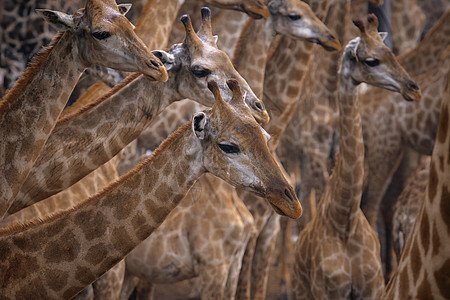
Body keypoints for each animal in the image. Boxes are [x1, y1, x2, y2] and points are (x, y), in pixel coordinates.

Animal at [292, 14, 422, 300]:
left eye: (390, 51)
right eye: (371, 60)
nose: (414, 89)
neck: (345, 218)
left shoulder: (373, 287)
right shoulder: (329, 291)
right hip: (303, 293)